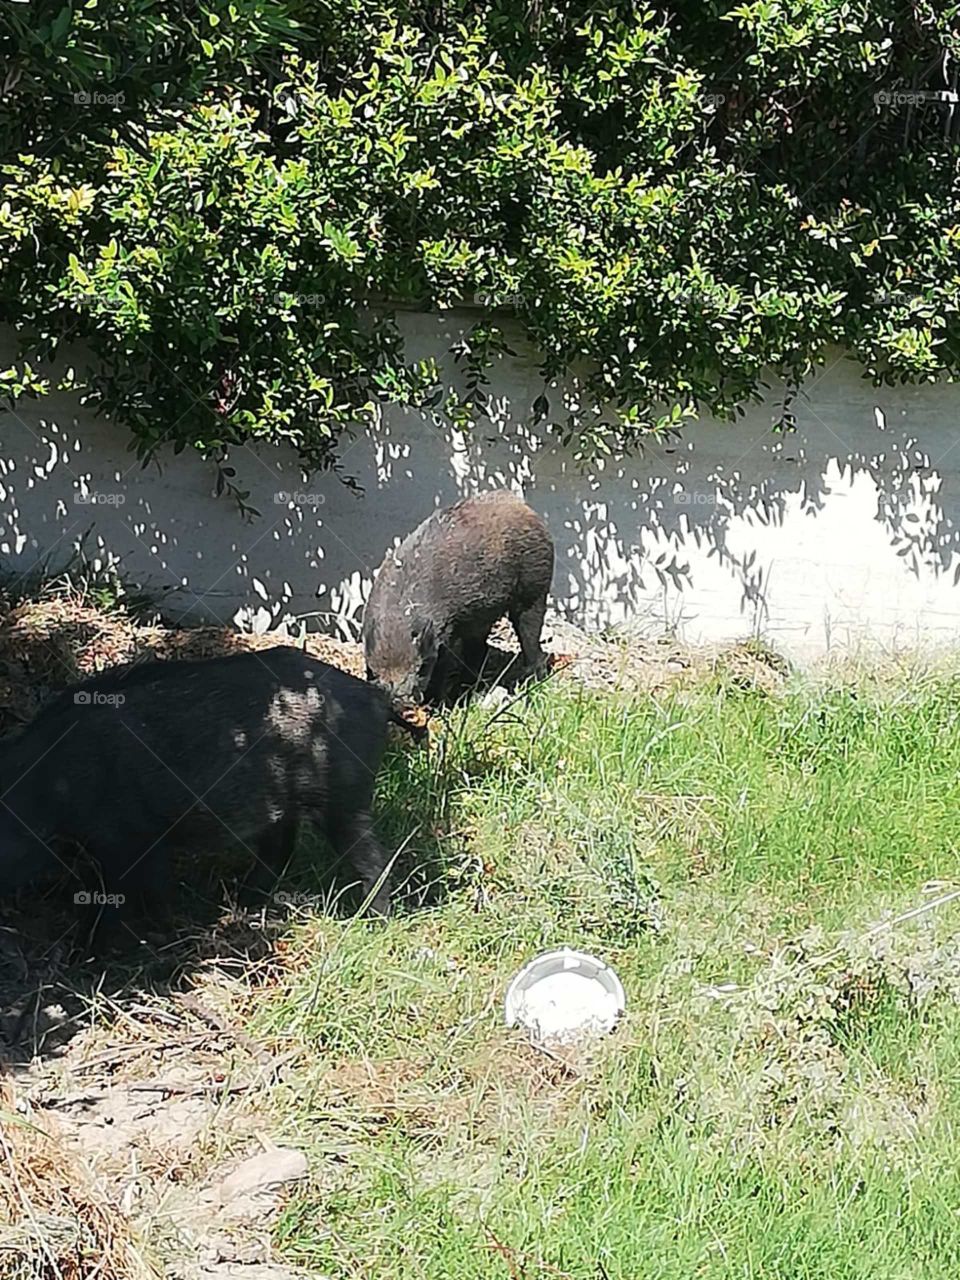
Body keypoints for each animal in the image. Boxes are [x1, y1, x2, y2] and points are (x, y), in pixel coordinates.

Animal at [0, 647, 398, 926]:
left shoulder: (128, 839)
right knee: (280, 850)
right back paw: (242, 902)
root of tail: (377, 699)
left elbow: (131, 892)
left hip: (345, 798)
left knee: (371, 857)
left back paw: (372, 919)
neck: (49, 785)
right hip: (286, 807)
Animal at [363, 490, 554, 705]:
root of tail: (527, 509)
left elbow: (441, 668)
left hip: (536, 588)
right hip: (482, 619)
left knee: (529, 634)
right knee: (478, 650)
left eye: (420, 668)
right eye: (377, 672)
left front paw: (435, 704)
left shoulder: (448, 632)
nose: (402, 699)